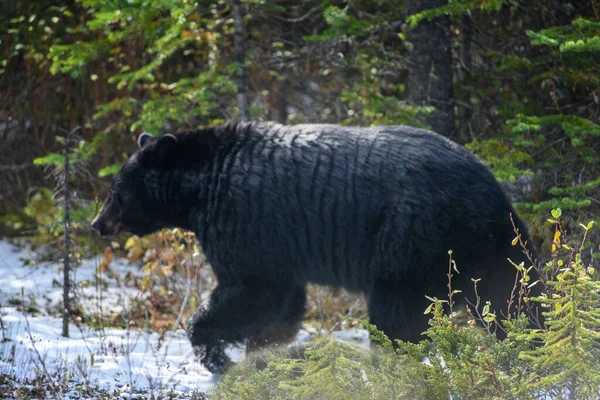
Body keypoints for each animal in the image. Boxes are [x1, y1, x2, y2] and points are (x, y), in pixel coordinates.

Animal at [91, 122, 540, 372]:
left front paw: (215, 351)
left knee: (396, 317)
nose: (96, 224)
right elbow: (282, 302)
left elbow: (252, 289)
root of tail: (494, 196)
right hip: (498, 253)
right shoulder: (280, 247)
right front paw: (265, 351)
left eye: (115, 192)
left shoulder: (246, 221)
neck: (202, 187)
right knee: (516, 302)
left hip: (414, 241)